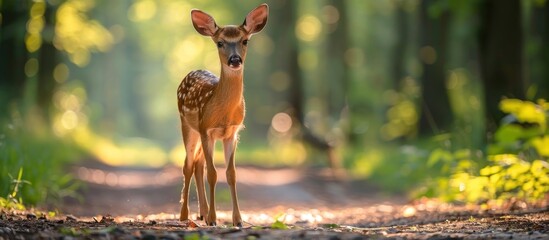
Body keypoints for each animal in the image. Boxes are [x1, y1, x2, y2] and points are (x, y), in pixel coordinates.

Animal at [177, 3, 268, 227]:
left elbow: (231, 174)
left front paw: (238, 220)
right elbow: (213, 174)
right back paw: (185, 215)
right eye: (220, 43)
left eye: (245, 40)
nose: (235, 60)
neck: (224, 113)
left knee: (198, 164)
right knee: (188, 165)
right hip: (188, 126)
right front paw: (213, 219)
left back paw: (201, 212)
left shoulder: (232, 133)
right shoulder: (206, 129)